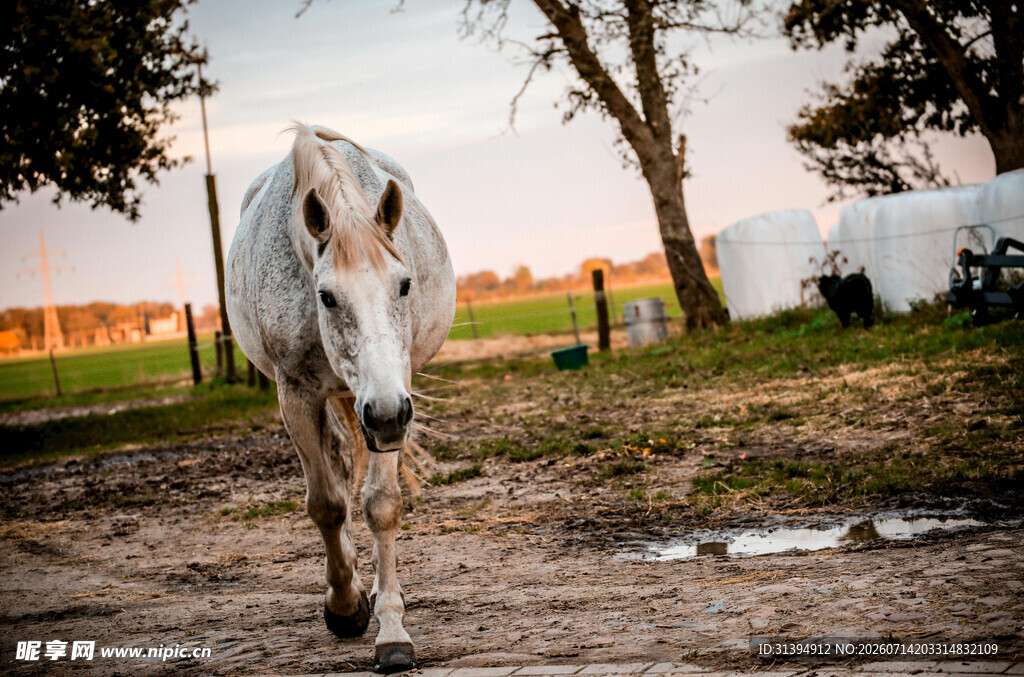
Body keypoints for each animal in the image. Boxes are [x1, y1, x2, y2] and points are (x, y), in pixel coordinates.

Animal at [226, 123, 456, 673]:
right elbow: (328, 504)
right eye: (326, 296)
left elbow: (382, 505)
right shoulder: (296, 394)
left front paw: (392, 631)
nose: (387, 414)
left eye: (405, 284)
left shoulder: (392, 396)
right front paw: (345, 606)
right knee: (334, 462)